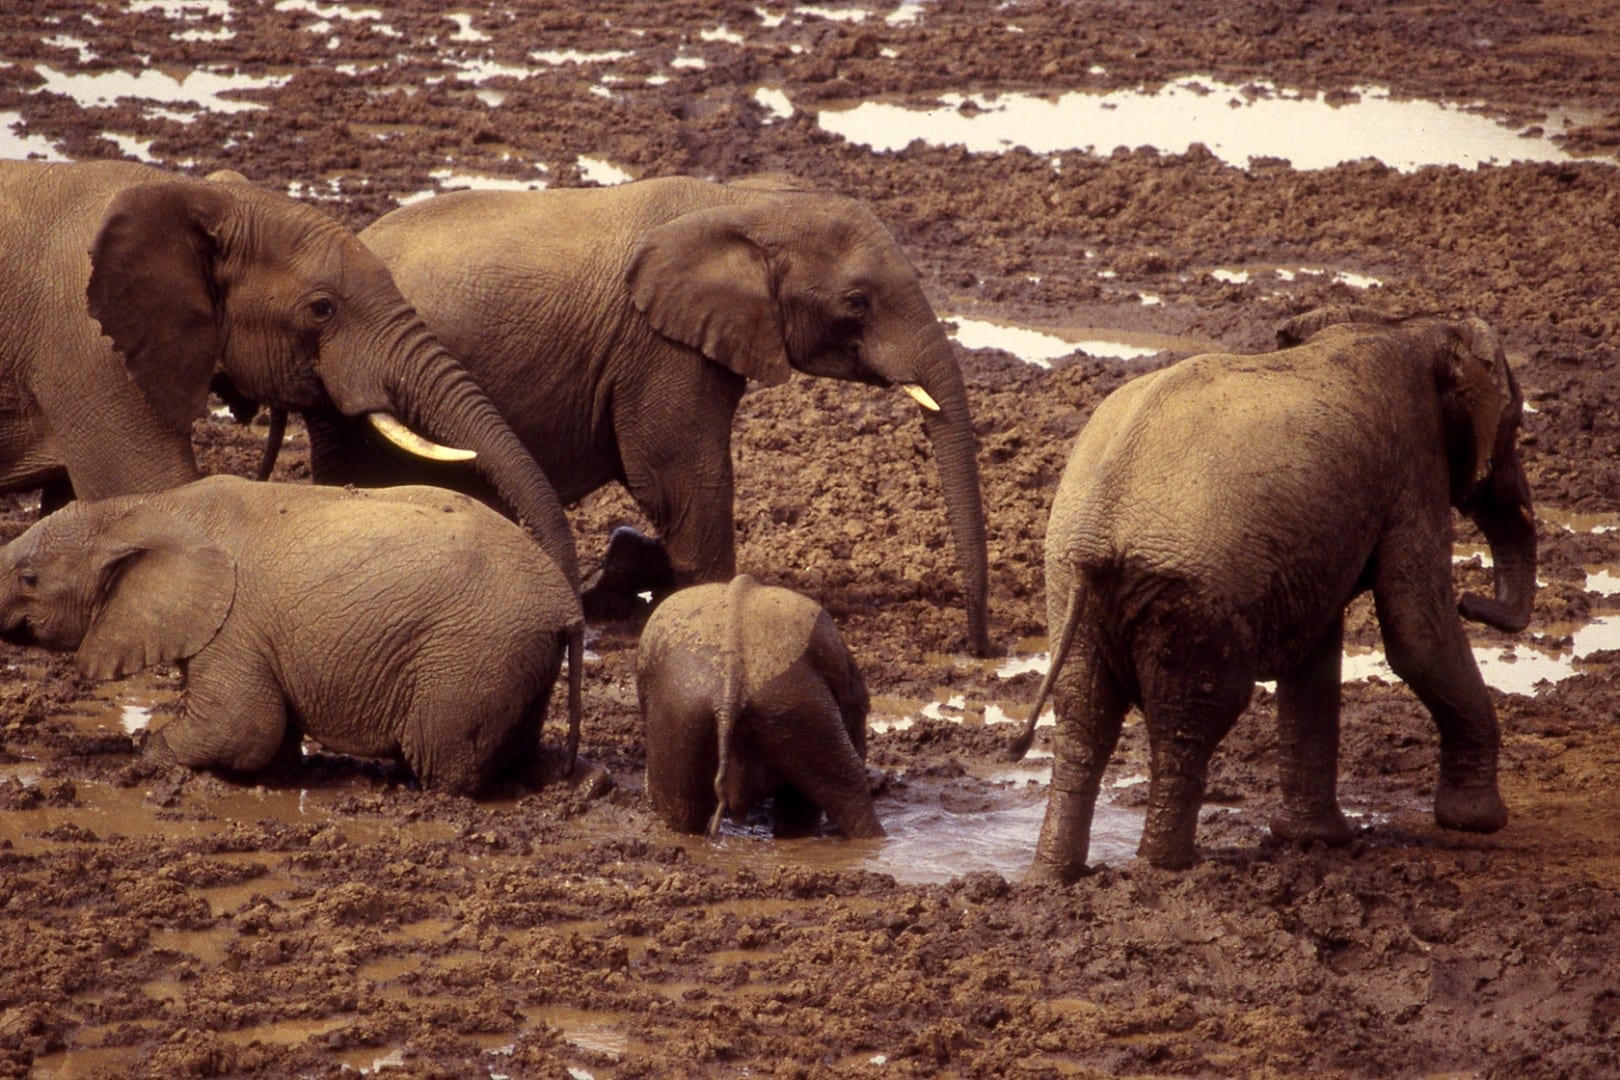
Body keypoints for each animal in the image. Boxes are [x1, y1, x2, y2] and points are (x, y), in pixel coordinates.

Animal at [0, 476, 589, 799]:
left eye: (29, 578)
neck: (142, 508)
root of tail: (567, 605)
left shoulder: (234, 625)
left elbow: (243, 727)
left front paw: (139, 761)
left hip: (473, 655)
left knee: (443, 762)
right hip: (517, 655)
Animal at [319, 175, 984, 660]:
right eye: (857, 301)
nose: (975, 647)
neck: (746, 203)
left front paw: (627, 574)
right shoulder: (658, 345)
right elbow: (678, 477)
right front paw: (702, 602)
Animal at [1004, 304, 1535, 880]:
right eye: (1515, 424)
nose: (1474, 603)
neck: (1411, 328)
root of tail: (1099, 524)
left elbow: (1316, 655)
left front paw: (1315, 840)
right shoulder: (1413, 468)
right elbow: (1417, 635)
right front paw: (1477, 824)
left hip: (1069, 583)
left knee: (1085, 715)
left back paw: (1055, 877)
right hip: (1194, 592)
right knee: (1188, 718)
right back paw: (1168, 871)